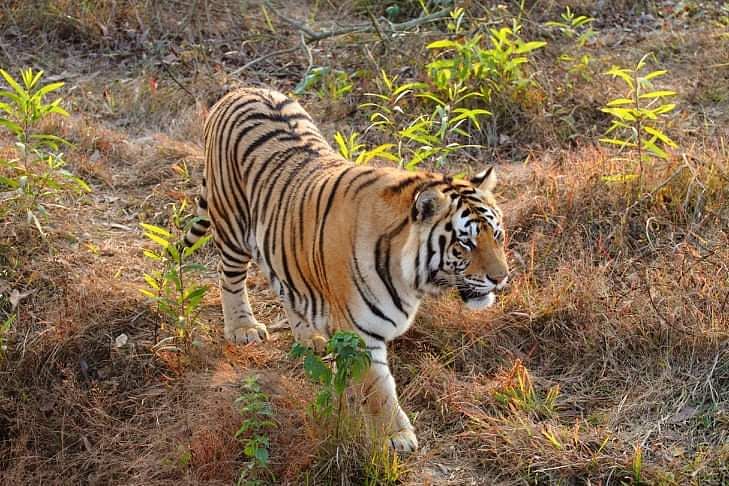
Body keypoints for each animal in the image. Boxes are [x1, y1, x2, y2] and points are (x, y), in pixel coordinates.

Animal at [185, 87, 510, 452]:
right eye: (465, 243)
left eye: (497, 235)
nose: (501, 278)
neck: (410, 277)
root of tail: (240, 90)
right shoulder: (360, 332)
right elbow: (379, 388)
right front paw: (397, 436)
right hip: (232, 225)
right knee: (229, 277)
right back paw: (243, 328)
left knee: (284, 286)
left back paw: (308, 338)